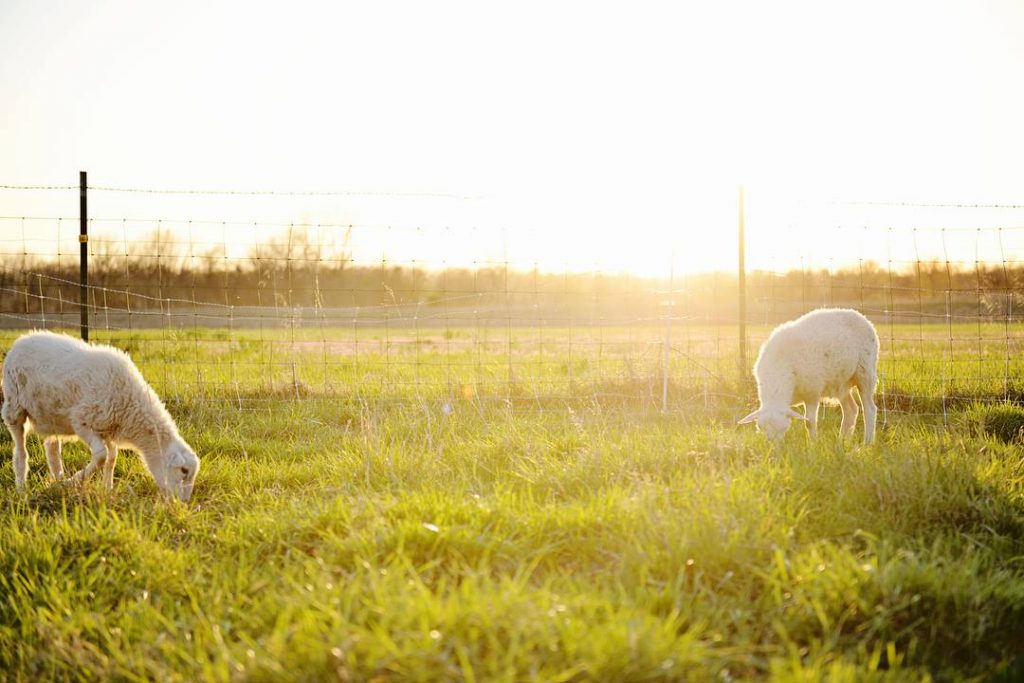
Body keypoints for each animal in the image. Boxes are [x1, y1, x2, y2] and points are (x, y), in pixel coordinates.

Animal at [1, 331, 199, 501]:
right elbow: (101, 455)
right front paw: (73, 481)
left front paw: (107, 489)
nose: (183, 503)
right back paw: (22, 487)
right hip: (14, 406)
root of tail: (23, 339)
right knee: (21, 452)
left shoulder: (108, 427)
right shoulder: (81, 421)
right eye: (183, 471)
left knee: (52, 448)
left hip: (51, 416)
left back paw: (57, 480)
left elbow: (112, 458)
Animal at [737, 309, 880, 444]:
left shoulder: (812, 392)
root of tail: (862, 317)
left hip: (865, 372)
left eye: (784, 428)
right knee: (851, 410)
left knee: (870, 409)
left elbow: (809, 422)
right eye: (761, 428)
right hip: (841, 383)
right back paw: (842, 441)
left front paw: (813, 444)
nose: (773, 448)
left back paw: (867, 442)